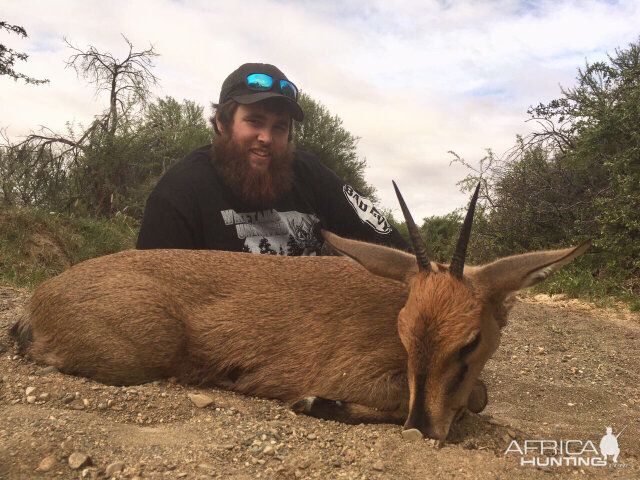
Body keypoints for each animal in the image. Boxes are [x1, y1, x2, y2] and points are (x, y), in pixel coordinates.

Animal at [11, 184, 592, 442]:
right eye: (405, 333)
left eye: (470, 340)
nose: (423, 429)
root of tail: (39, 300)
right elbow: (474, 399)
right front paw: (317, 403)